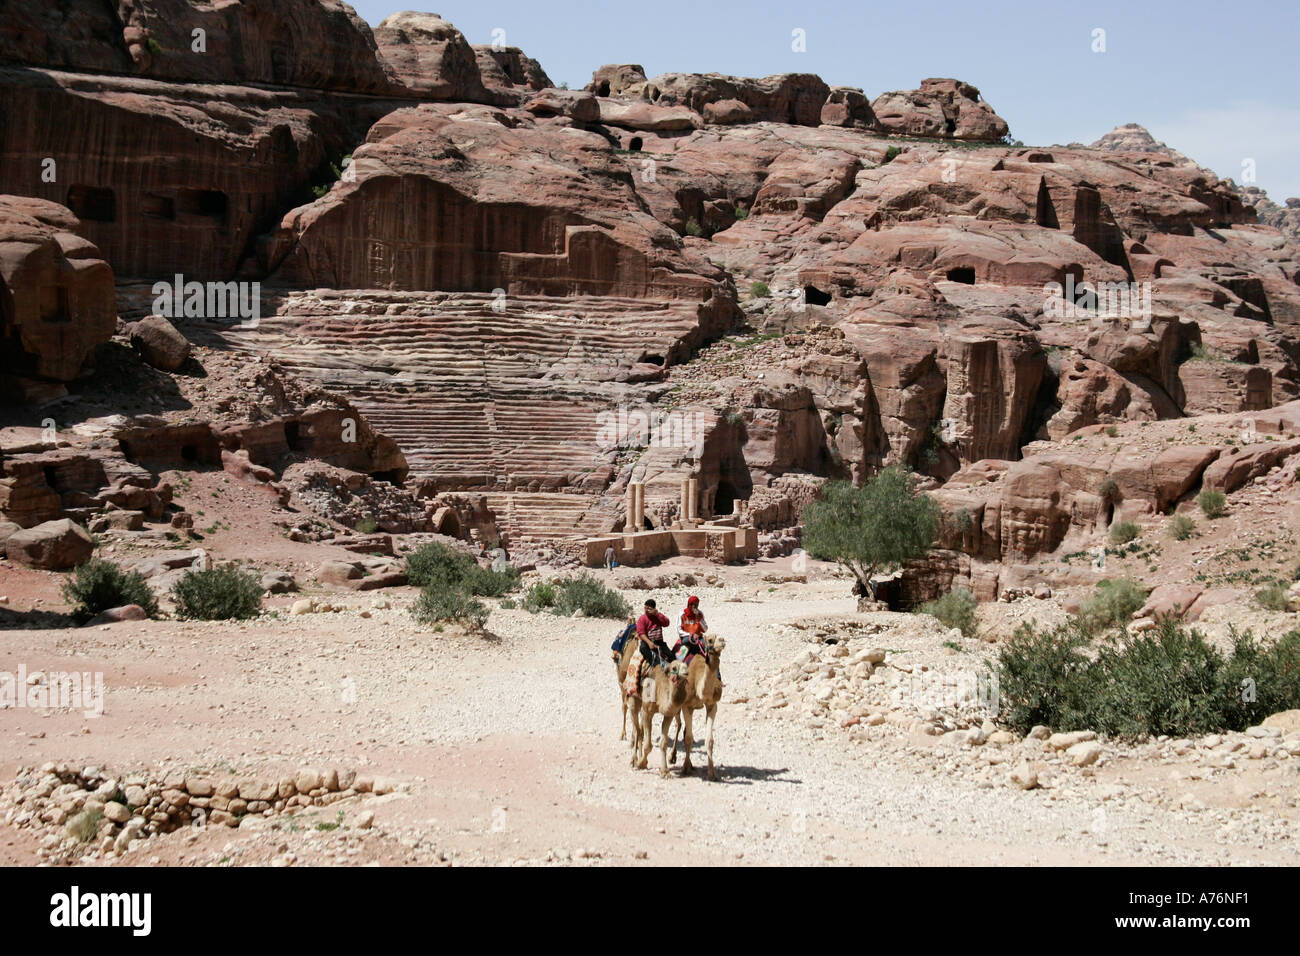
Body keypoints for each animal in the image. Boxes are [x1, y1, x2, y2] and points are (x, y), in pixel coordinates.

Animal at [665, 634, 728, 780]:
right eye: (710, 640)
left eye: (720, 637)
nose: (722, 640)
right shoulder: (687, 706)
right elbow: (688, 738)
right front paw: (685, 768)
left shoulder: (712, 705)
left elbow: (709, 740)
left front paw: (711, 773)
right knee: (679, 725)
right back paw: (672, 757)